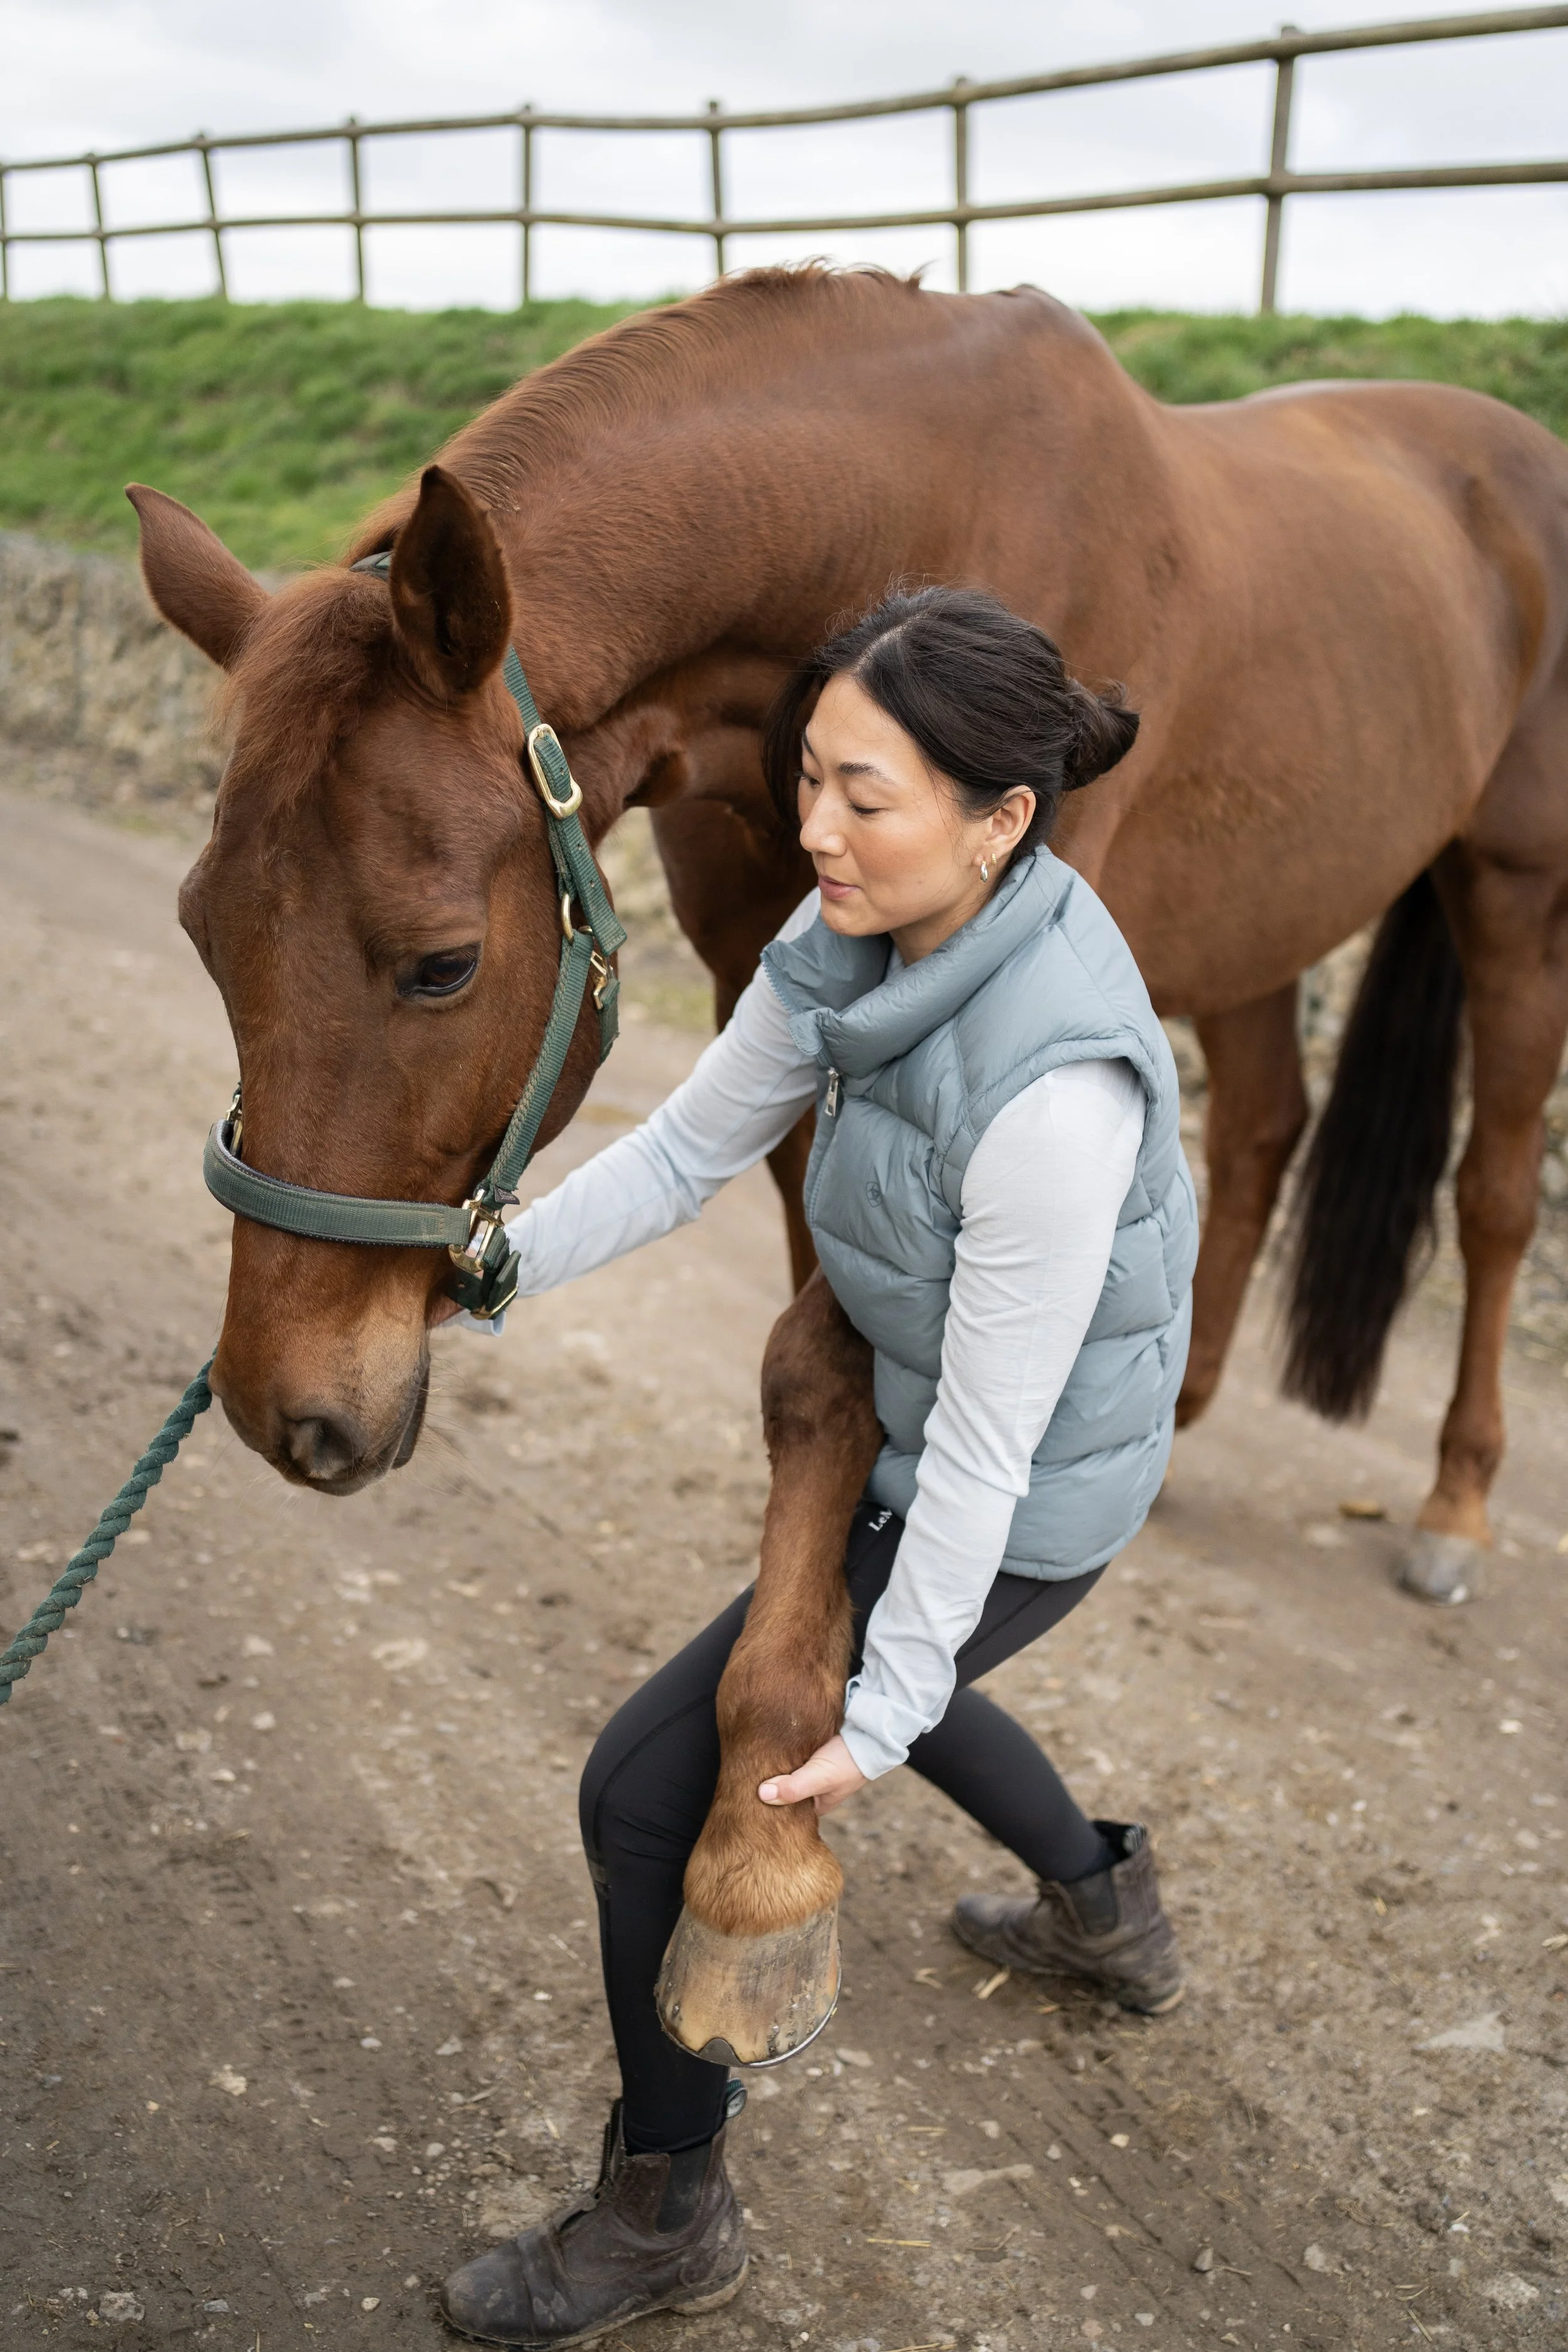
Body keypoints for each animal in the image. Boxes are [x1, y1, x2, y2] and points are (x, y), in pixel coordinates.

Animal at [131, 265, 1568, 2061]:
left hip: (1511, 888)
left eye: (444, 964)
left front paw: (758, 1858)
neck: (889, 555)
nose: (287, 1409)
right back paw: (1170, 1416)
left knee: (1492, 1189)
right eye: (203, 934)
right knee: (1255, 1127)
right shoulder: (785, 994)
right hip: (1261, 922)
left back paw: (1452, 1500)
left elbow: (841, 1375)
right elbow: (821, 1363)